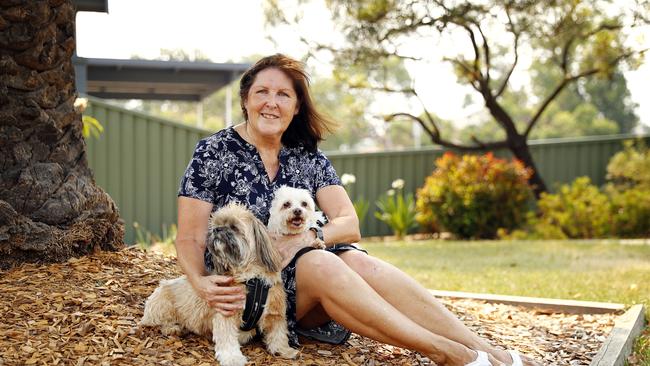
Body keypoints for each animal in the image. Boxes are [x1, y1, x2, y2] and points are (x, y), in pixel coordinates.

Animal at [140, 203, 298, 366]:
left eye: (234, 227)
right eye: (216, 225)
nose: (216, 229)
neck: (251, 279)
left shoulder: (275, 312)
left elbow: (278, 333)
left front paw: (283, 350)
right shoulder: (226, 313)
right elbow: (227, 339)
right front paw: (232, 358)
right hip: (162, 305)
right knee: (154, 323)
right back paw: (172, 328)